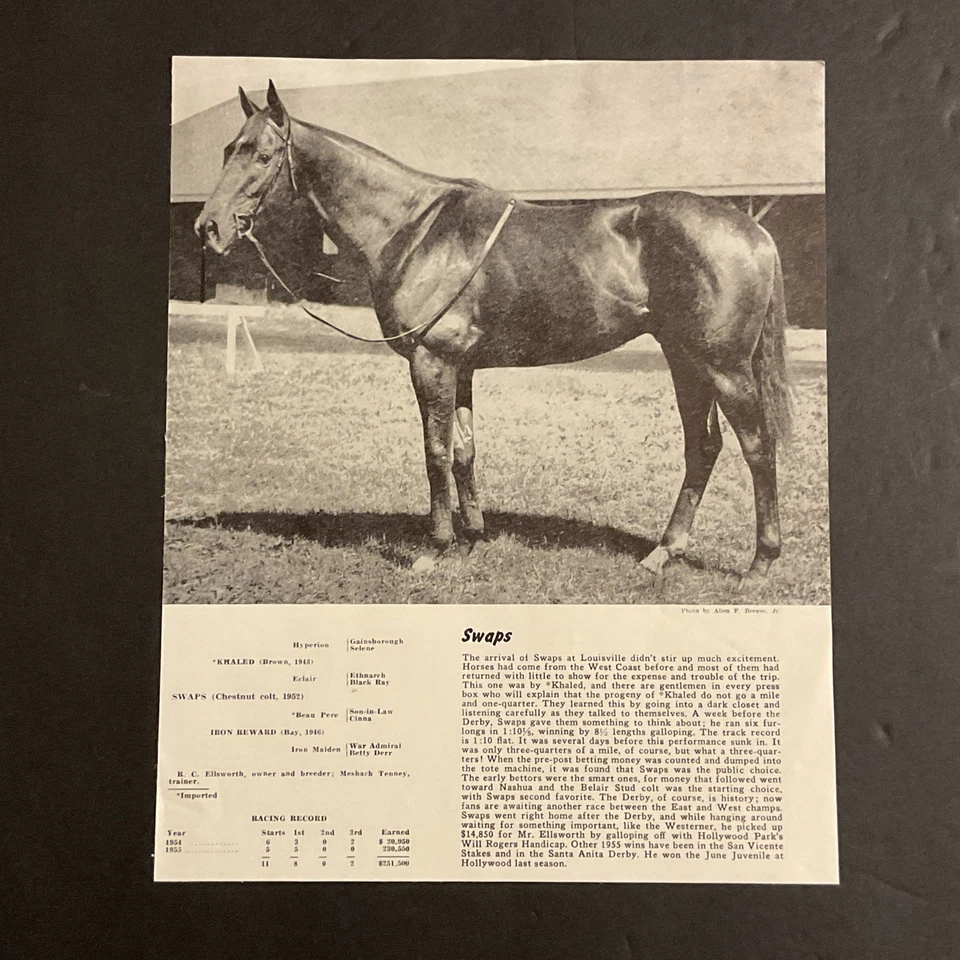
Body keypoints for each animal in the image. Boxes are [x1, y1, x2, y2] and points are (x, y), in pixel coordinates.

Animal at [194, 81, 791, 582]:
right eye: (227, 150)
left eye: (262, 155)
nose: (209, 227)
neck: (415, 226)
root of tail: (756, 230)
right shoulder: (460, 368)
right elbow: (465, 450)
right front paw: (472, 539)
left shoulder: (431, 362)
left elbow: (434, 452)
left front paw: (434, 549)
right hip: (683, 358)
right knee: (703, 446)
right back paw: (664, 552)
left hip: (723, 366)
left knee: (757, 447)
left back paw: (760, 564)